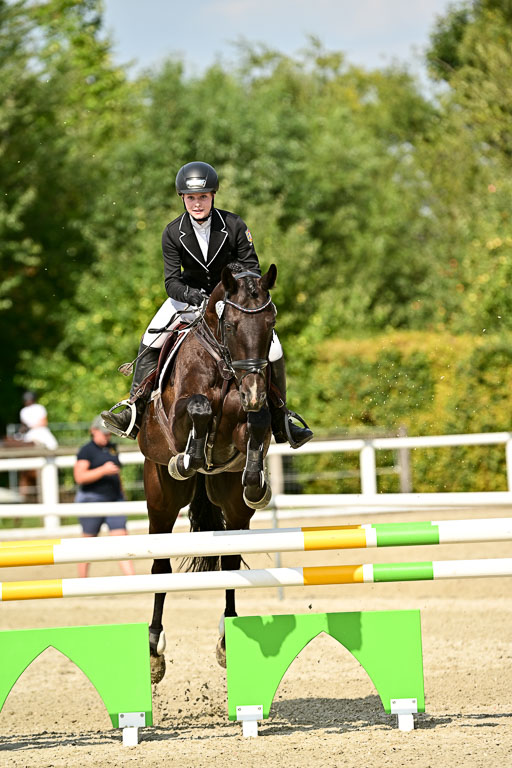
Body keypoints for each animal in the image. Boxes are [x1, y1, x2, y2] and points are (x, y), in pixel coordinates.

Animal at [138, 261, 278, 682]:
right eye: (230, 324)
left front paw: (256, 480)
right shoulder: (181, 409)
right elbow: (198, 408)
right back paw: (153, 651)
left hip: (230, 504)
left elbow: (258, 423)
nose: (254, 391)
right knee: (160, 566)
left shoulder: (248, 417)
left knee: (229, 563)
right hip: (162, 501)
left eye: (270, 324)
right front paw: (188, 457)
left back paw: (227, 640)